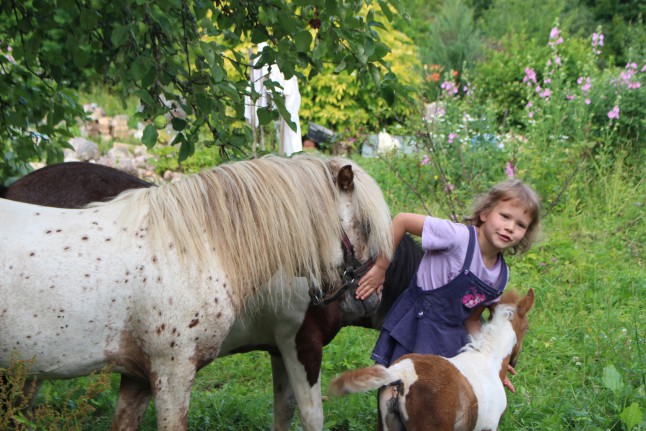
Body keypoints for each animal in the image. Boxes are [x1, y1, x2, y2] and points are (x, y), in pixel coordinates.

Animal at [1, 161, 422, 431]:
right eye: (365, 225)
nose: (368, 297)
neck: (196, 249)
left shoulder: (140, 375)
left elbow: (283, 413)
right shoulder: (177, 371)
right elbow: (311, 415)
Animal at [329, 289, 535, 431]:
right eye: (527, 327)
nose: (514, 363)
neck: (488, 358)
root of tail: (399, 374)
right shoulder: (488, 427)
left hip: (387, 424)